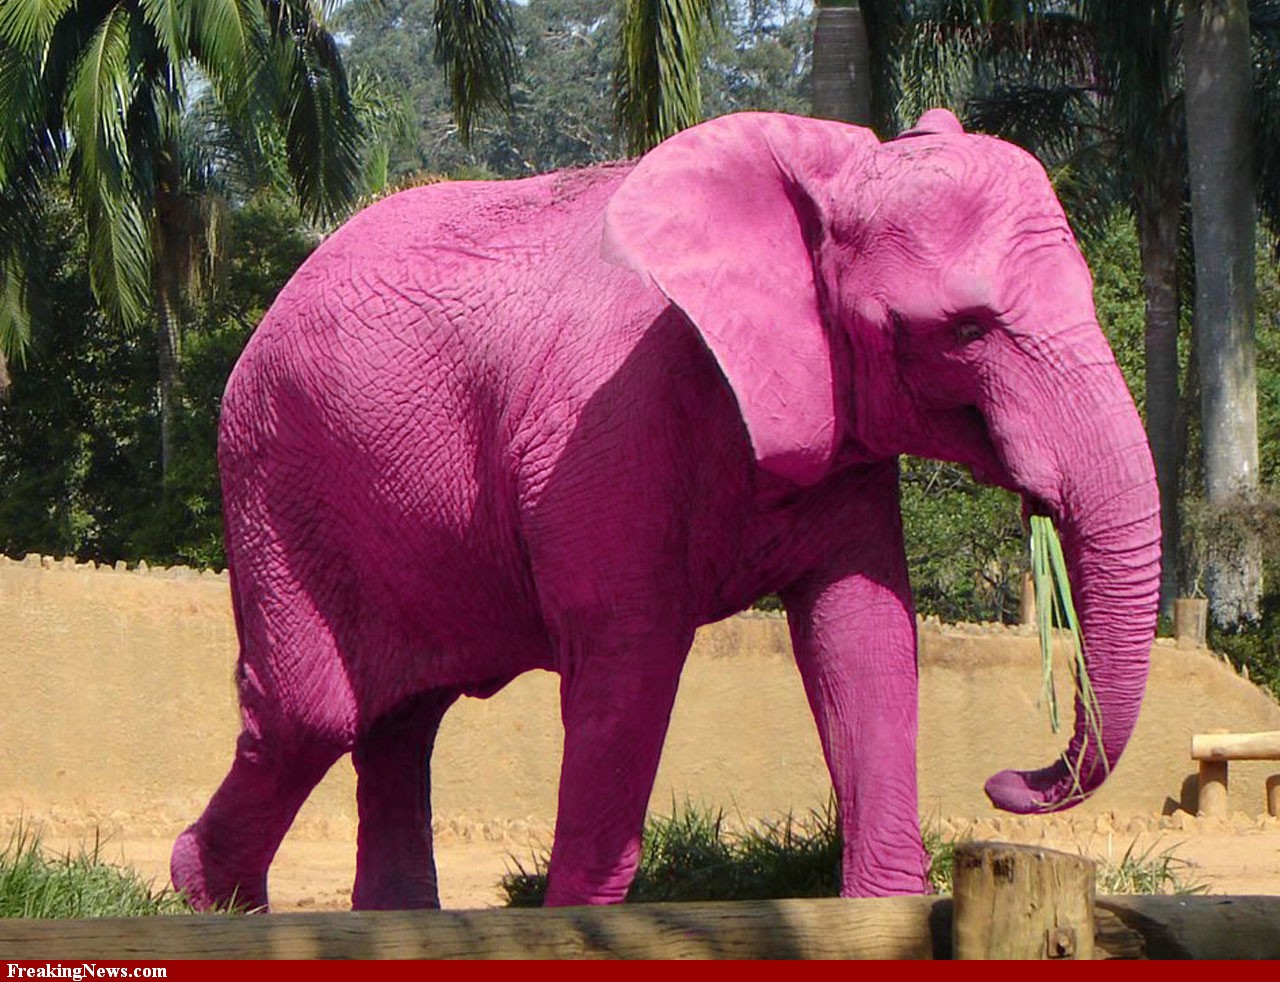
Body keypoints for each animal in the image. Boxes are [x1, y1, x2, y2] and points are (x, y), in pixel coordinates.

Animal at [170, 108, 1161, 911]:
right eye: (962, 330)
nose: (1008, 782)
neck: (825, 181)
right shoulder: (609, 429)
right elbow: (630, 661)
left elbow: (864, 637)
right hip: (275, 480)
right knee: (311, 716)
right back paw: (209, 898)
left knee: (398, 721)